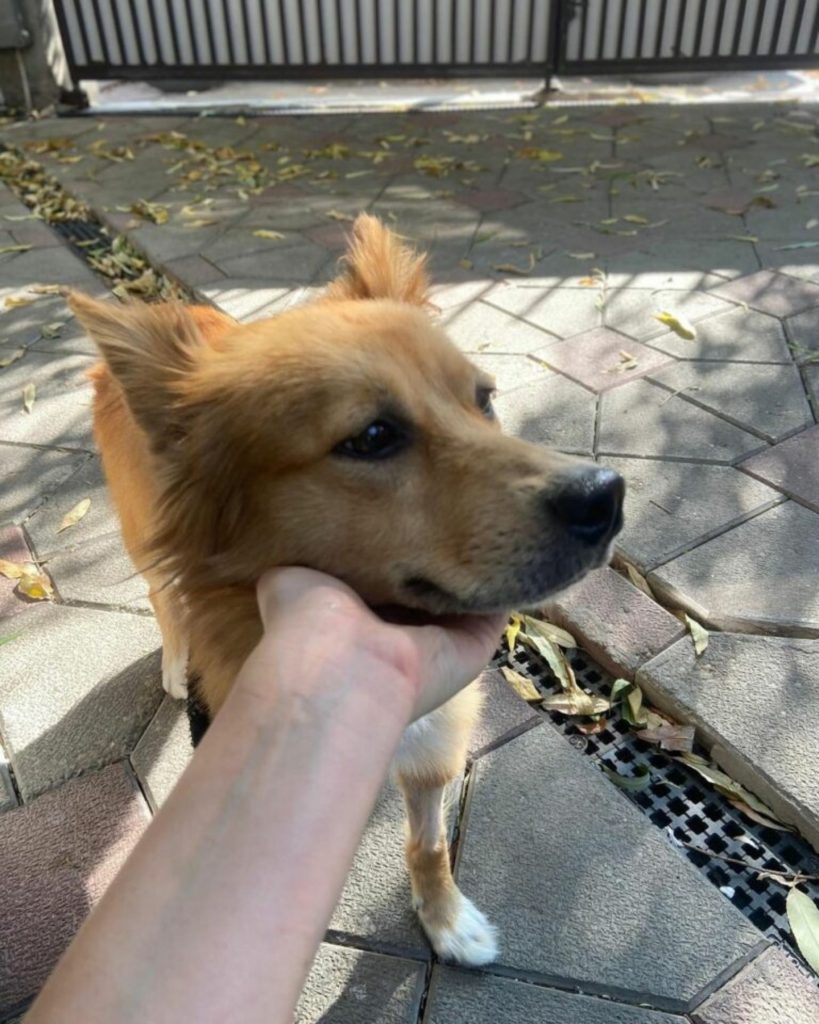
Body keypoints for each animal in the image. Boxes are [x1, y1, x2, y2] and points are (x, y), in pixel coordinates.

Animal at [70, 211, 622, 962]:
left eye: (483, 401)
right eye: (372, 436)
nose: (606, 496)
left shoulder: (435, 747)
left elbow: (430, 846)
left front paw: (445, 919)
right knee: (165, 603)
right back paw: (177, 663)